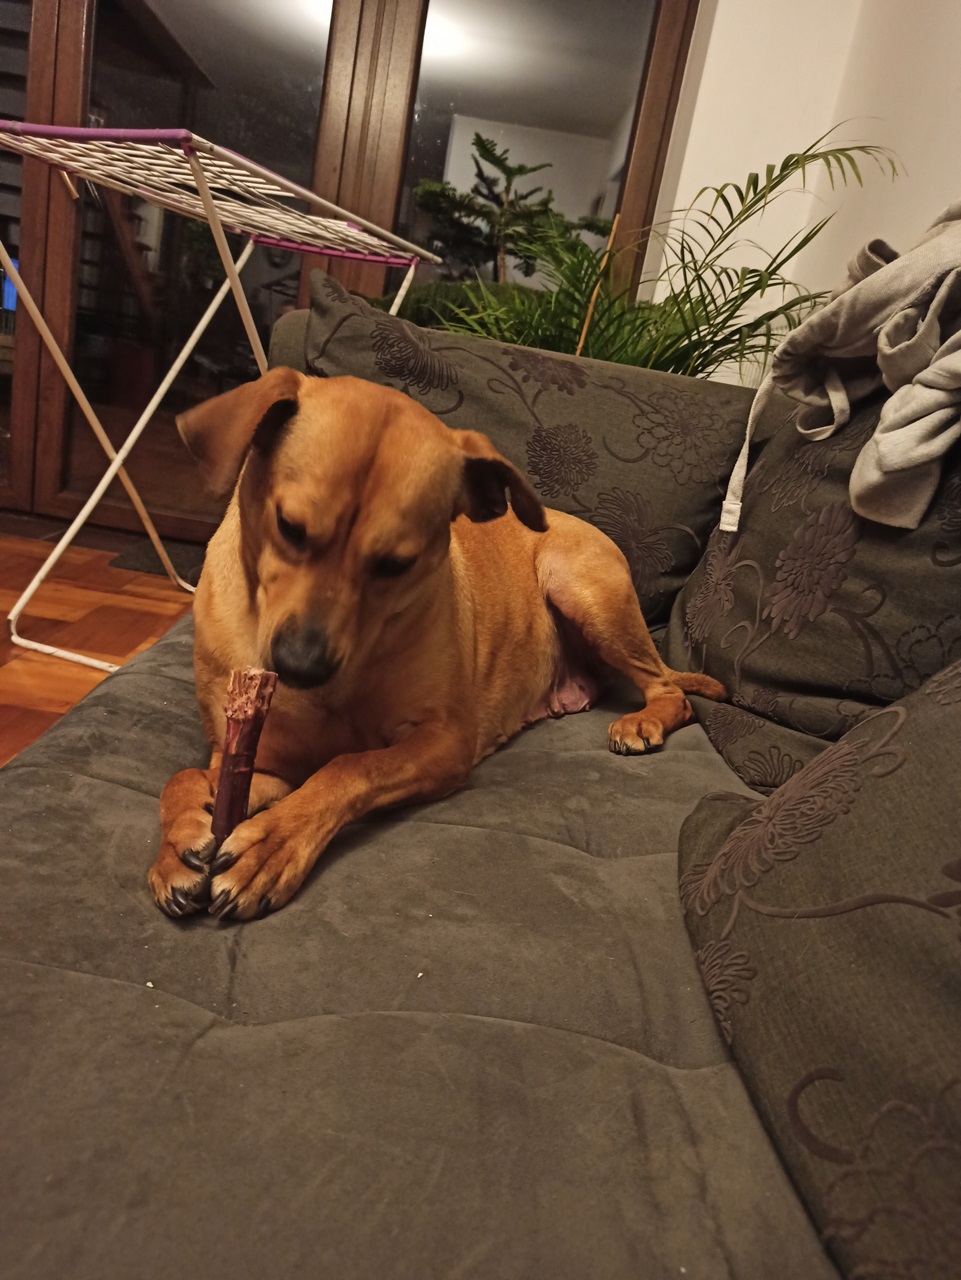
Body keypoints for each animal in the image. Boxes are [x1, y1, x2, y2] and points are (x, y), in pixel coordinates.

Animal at [148, 369, 726, 921]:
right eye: (289, 526)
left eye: (396, 564)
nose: (300, 666)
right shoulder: (256, 761)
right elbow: (183, 776)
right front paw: (177, 846)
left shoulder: (444, 743)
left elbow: (350, 766)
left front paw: (272, 843)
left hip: (584, 591)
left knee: (669, 688)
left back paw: (643, 721)